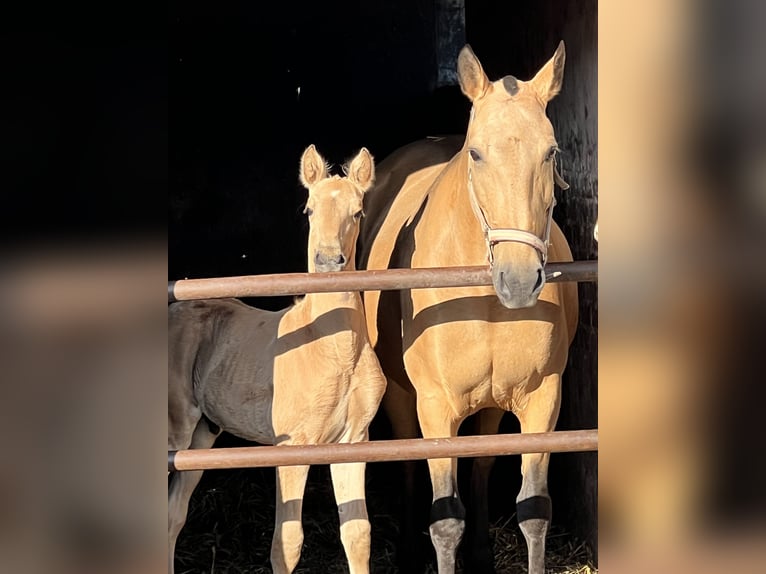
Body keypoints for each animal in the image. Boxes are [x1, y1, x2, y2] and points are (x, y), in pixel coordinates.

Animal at [168, 145, 384, 574]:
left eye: (357, 212)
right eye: (309, 209)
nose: (328, 260)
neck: (333, 351)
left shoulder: (353, 442)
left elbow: (357, 535)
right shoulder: (292, 448)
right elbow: (287, 543)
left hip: (201, 439)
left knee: (172, 516)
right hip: (175, 431)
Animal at [364, 41, 580, 574]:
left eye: (551, 151)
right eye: (477, 153)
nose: (519, 281)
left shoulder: (542, 401)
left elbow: (534, 510)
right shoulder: (436, 406)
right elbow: (444, 520)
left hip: (492, 406)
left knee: (482, 464)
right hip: (401, 396)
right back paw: (406, 554)